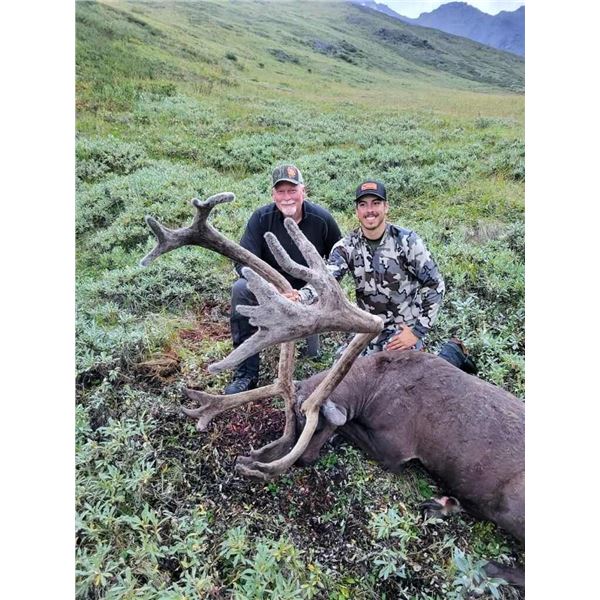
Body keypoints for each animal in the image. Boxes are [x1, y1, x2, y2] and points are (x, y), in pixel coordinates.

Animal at [141, 192, 525, 586]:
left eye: (312, 423)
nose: (252, 460)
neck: (371, 387)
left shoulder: (396, 449)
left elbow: (353, 429)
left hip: (514, 502)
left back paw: (479, 555)